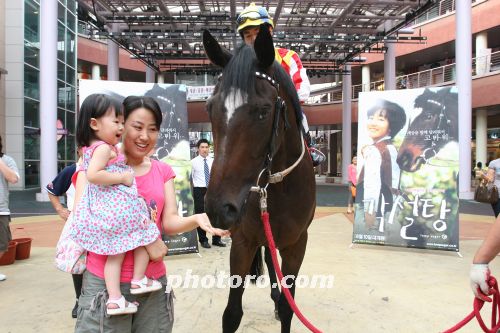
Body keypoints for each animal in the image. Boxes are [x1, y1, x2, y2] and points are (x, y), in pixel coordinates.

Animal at [203, 27, 316, 332]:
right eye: (210, 108)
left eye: (264, 112)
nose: (219, 208)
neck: (278, 188)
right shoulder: (243, 241)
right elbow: (231, 313)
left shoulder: (297, 244)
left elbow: (289, 308)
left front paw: (282, 302)